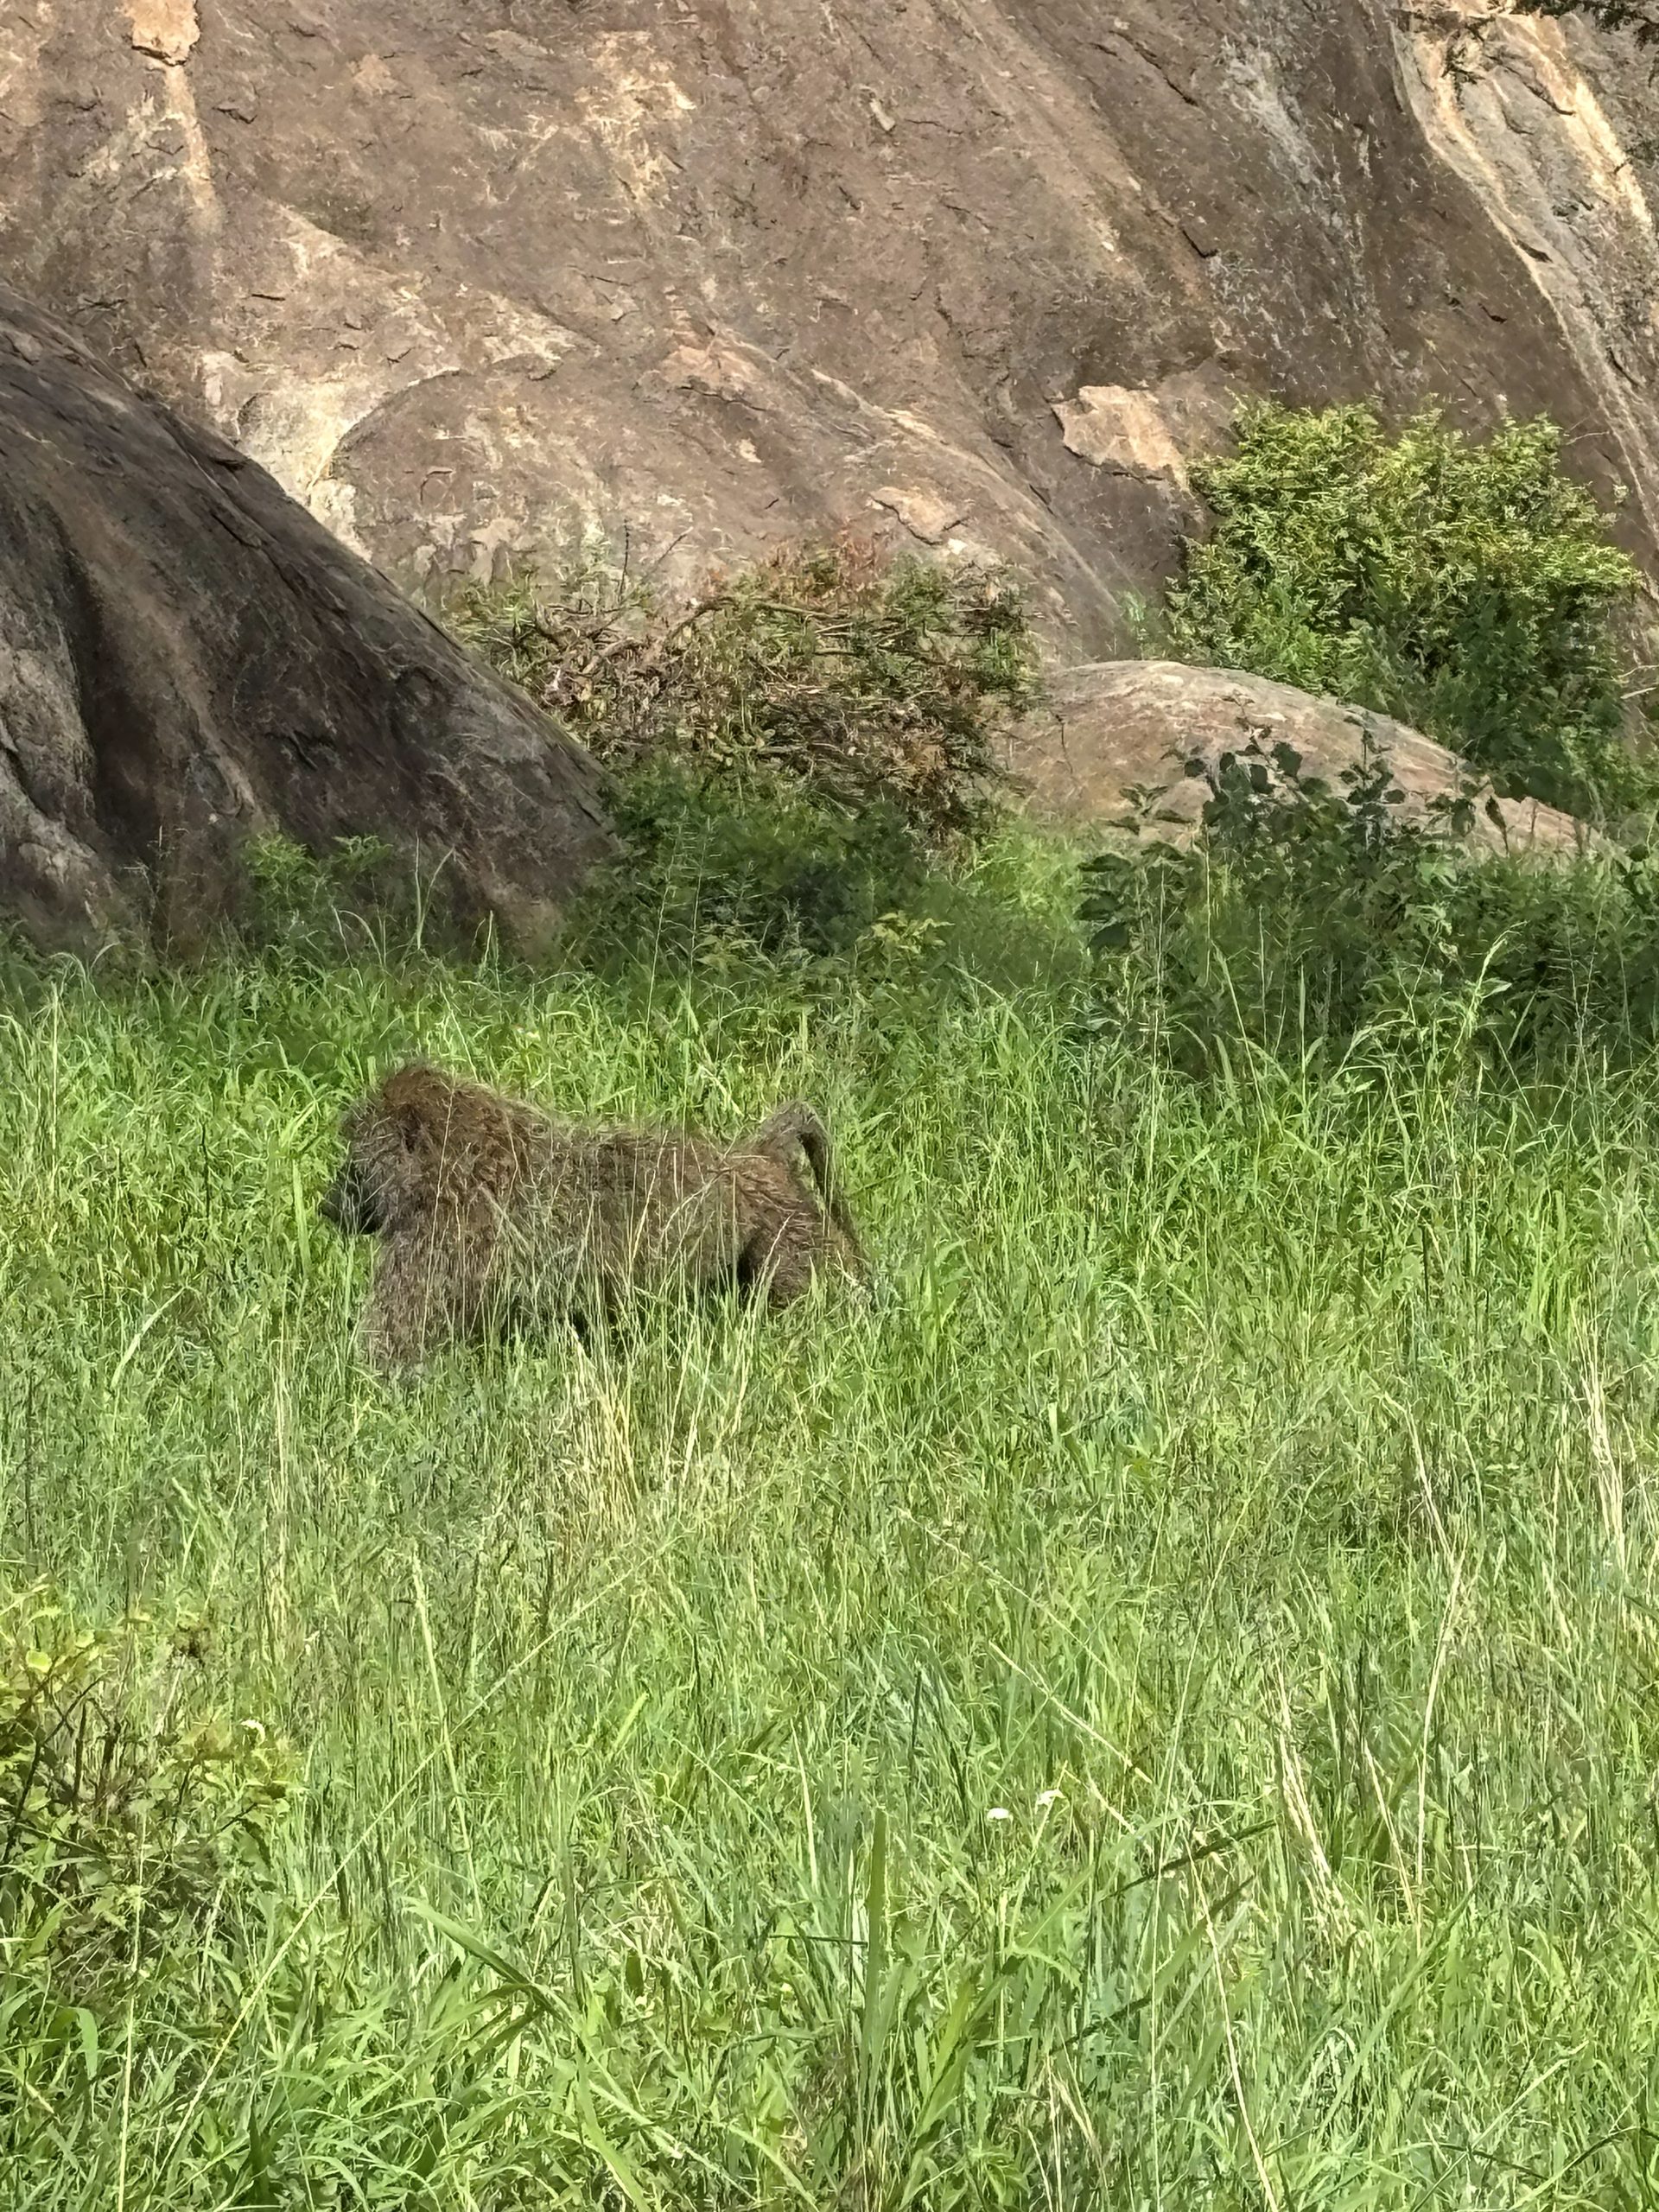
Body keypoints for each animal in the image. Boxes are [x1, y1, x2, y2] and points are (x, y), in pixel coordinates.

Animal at [318, 1063, 866, 1372]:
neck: (463, 1162)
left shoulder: (434, 1243)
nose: (328, 1204)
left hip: (789, 1233)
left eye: (354, 1158)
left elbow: (387, 1352)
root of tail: (758, 1157)